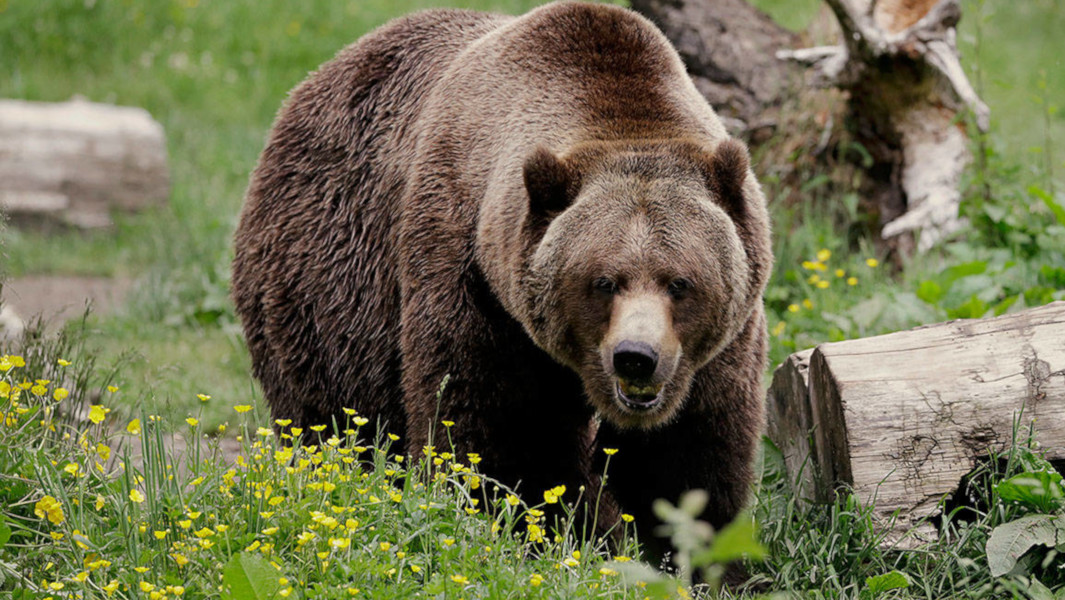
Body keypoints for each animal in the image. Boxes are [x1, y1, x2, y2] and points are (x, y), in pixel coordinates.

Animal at [231, 1, 775, 554]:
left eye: (679, 282)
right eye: (603, 281)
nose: (636, 358)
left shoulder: (719, 344)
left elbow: (689, 456)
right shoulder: (473, 279)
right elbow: (495, 432)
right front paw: (532, 528)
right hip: (327, 282)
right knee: (335, 413)